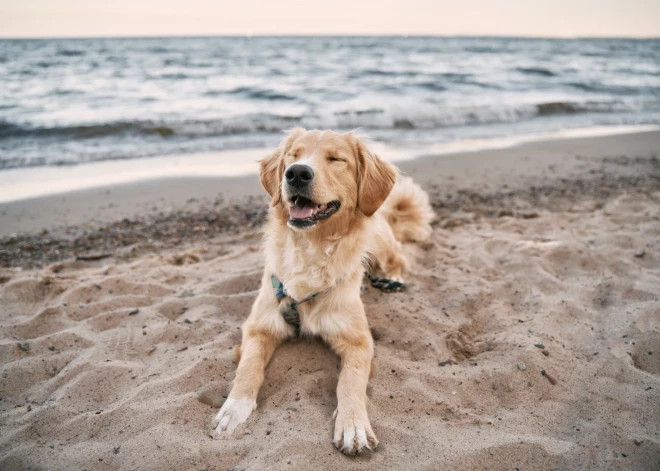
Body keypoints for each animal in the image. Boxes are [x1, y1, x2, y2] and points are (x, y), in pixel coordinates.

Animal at [211, 127, 434, 456]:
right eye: (294, 155)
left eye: (335, 159)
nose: (296, 173)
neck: (311, 249)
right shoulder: (258, 326)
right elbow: (248, 368)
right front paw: (233, 409)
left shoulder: (358, 340)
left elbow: (350, 380)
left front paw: (353, 424)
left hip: (379, 239)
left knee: (398, 257)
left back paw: (391, 278)